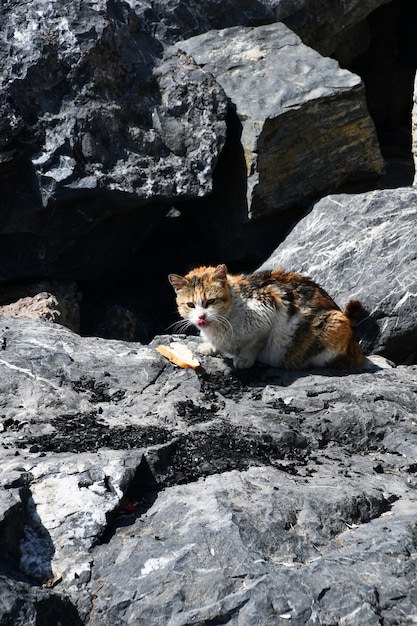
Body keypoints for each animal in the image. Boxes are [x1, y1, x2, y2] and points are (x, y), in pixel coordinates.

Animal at [168, 264, 364, 370]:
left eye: (211, 301)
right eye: (190, 305)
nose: (201, 317)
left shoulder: (269, 306)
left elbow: (254, 343)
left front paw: (244, 359)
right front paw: (210, 347)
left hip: (335, 324)